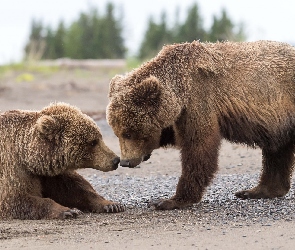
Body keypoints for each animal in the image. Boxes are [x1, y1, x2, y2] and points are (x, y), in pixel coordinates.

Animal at [107, 40, 295, 210]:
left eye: (128, 133)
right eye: (117, 132)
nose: (125, 161)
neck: (179, 87)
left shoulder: (199, 100)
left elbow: (198, 147)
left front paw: (170, 201)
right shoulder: (182, 111)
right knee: (277, 151)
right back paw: (256, 190)